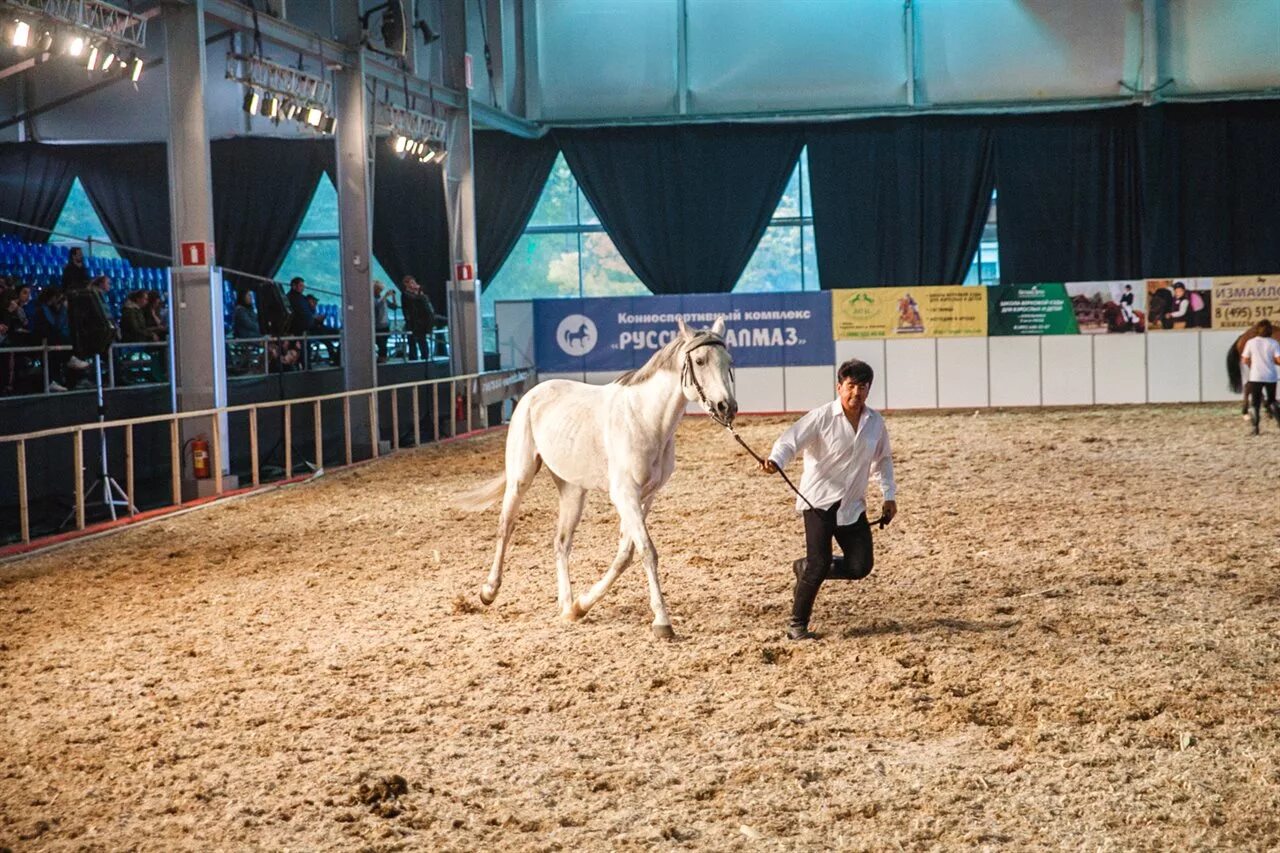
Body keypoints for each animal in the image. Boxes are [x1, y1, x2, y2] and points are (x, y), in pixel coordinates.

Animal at [458, 315, 742, 635]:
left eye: (729, 361)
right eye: (701, 360)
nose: (727, 407)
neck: (645, 419)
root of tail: (532, 393)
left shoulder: (645, 496)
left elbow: (625, 555)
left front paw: (581, 606)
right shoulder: (625, 494)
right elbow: (647, 550)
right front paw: (662, 621)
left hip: (572, 491)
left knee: (561, 542)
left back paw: (566, 606)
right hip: (520, 477)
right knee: (505, 527)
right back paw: (489, 591)